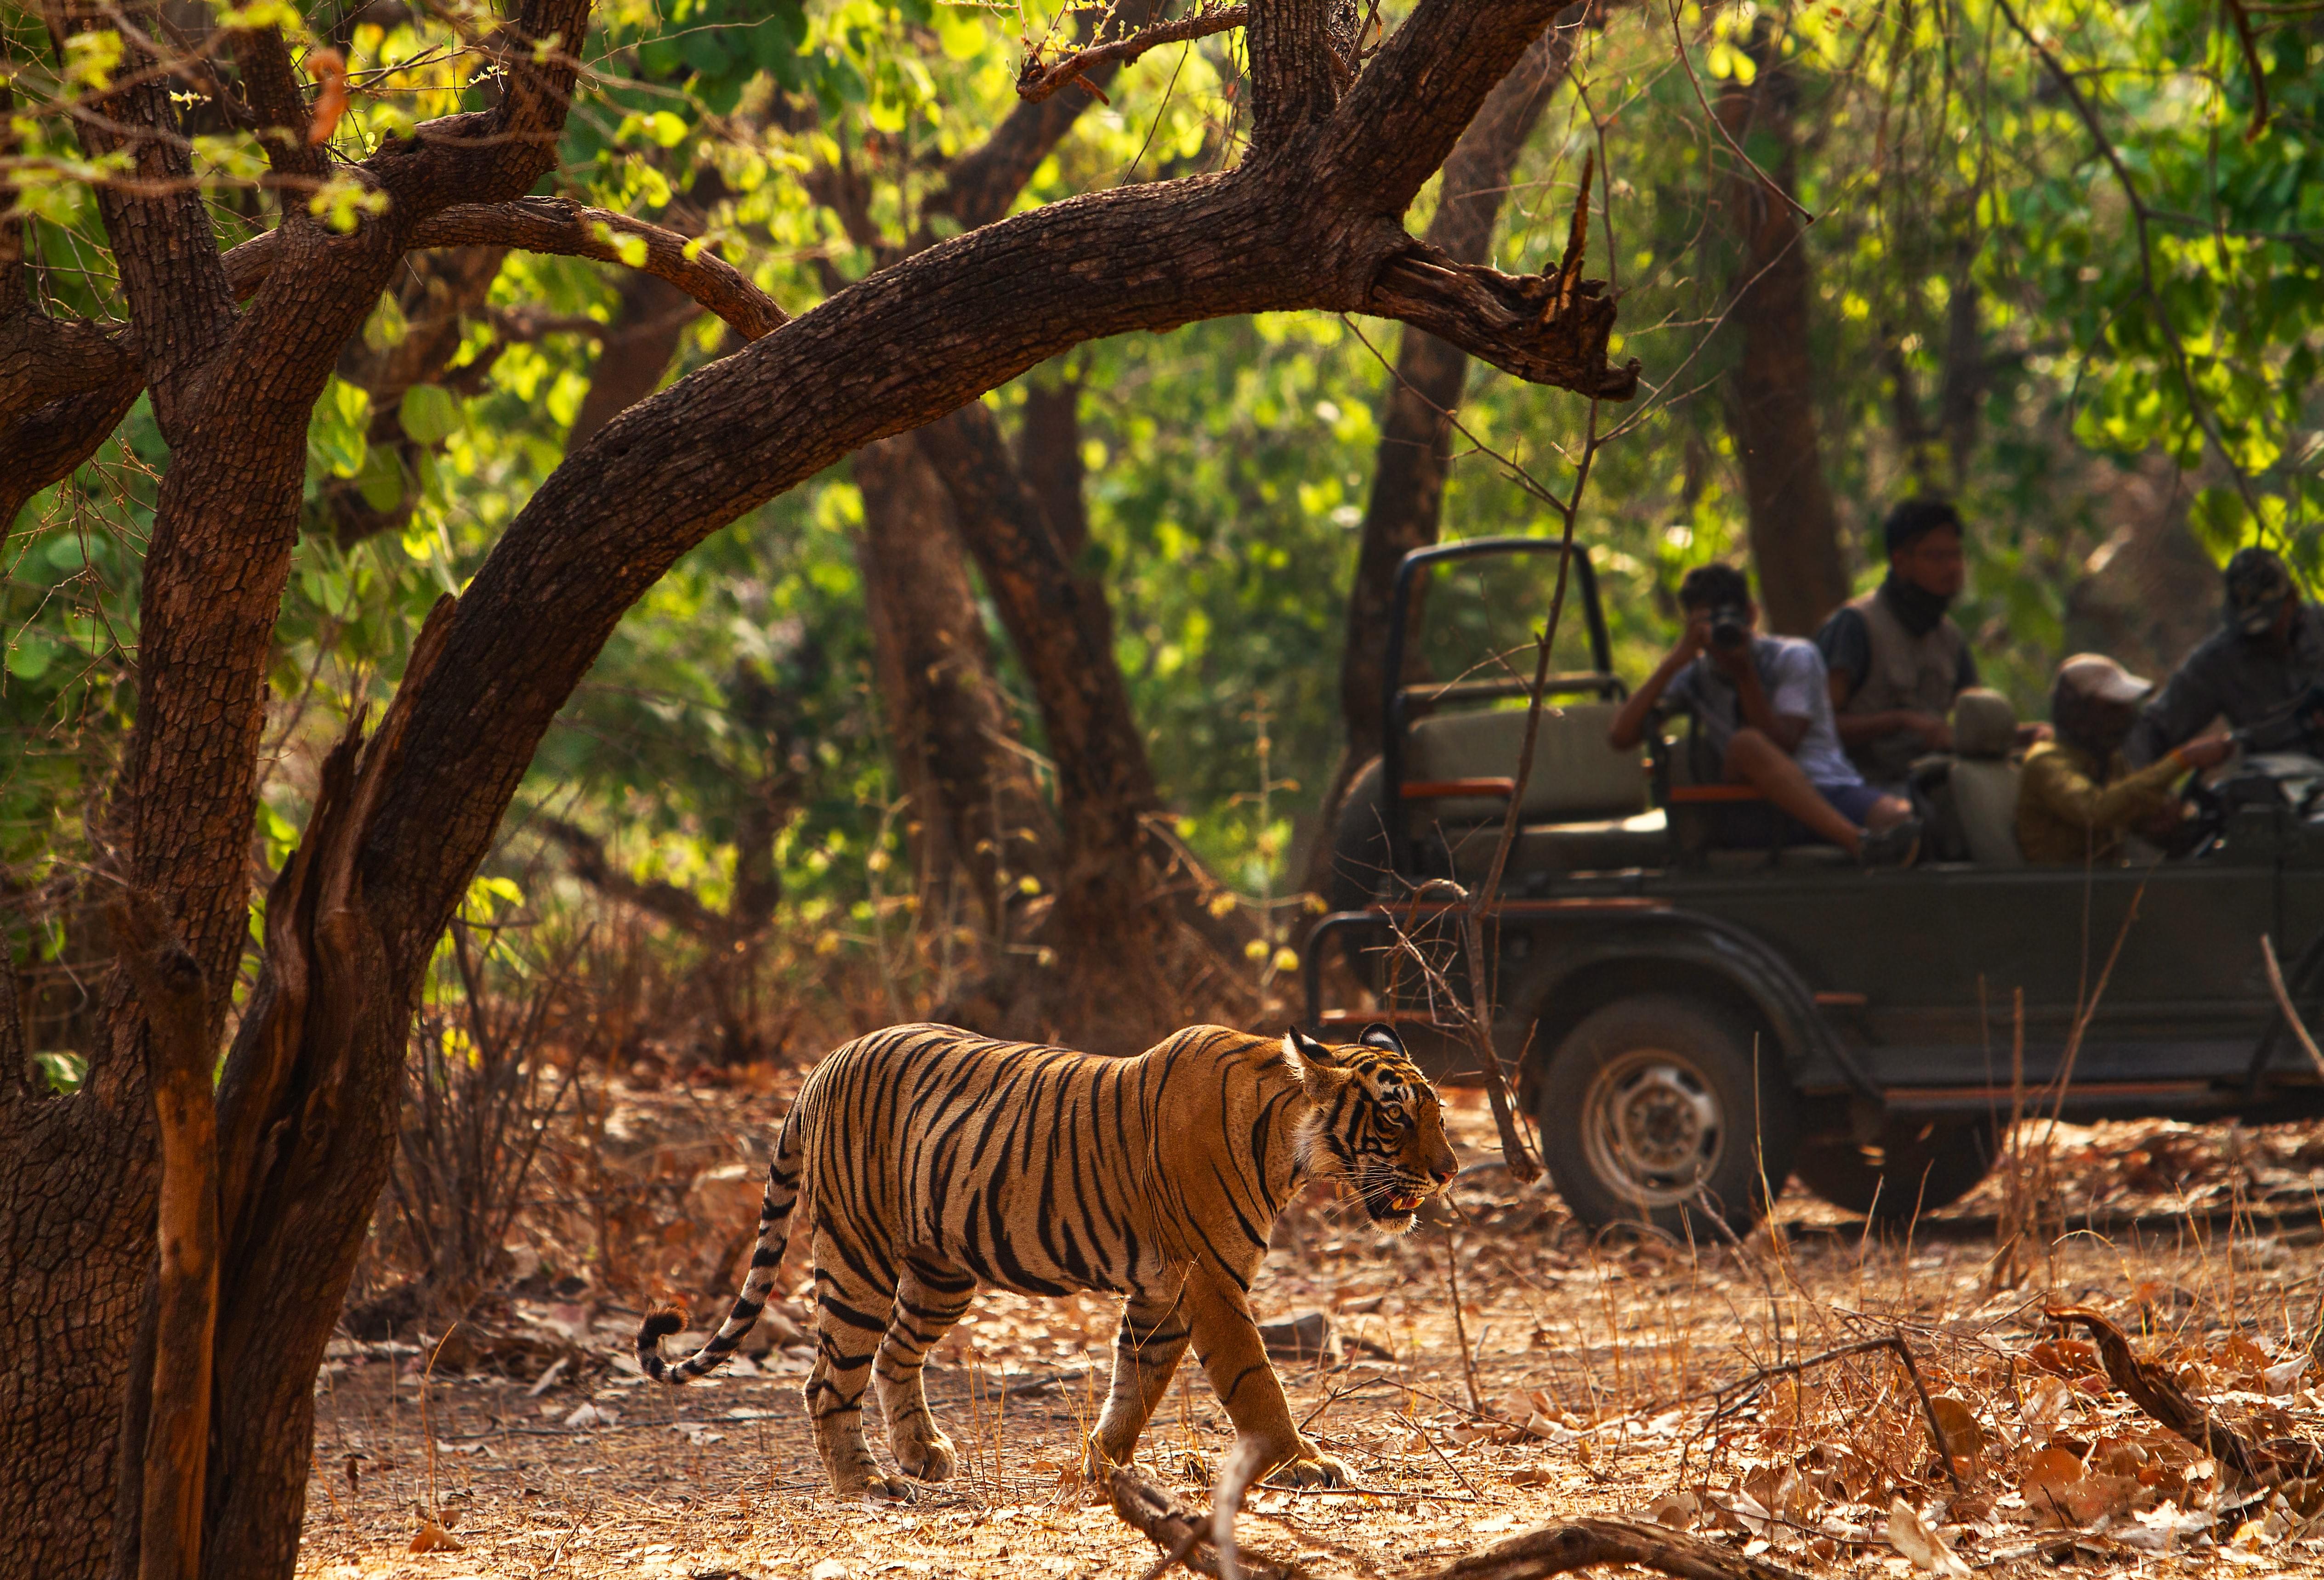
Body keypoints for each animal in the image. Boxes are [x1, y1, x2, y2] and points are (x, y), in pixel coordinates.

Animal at [641, 1018, 1450, 1496]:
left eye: (1437, 1112)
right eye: (1395, 1114)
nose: (1448, 1172)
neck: (1288, 1139)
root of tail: (820, 1067)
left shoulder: (1163, 1293)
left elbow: (1136, 1384)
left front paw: (1103, 1463)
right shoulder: (1211, 1283)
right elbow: (1256, 1383)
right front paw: (1304, 1462)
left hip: (941, 1270)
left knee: (894, 1353)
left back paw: (922, 1452)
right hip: (857, 1254)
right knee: (826, 1378)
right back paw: (866, 1482)